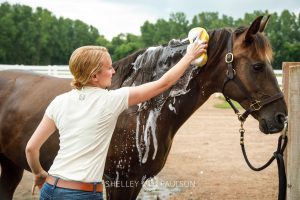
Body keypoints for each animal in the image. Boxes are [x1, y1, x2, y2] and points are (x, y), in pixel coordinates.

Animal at [0, 16, 286, 200]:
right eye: (258, 66)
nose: (281, 117)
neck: (141, 109)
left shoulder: (135, 182)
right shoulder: (119, 181)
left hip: (11, 164)